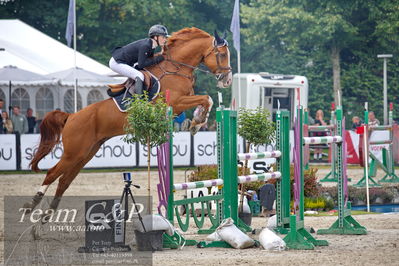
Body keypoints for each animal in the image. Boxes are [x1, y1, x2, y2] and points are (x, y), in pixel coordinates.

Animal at [24, 27, 231, 214]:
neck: (175, 68)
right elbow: (206, 98)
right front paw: (196, 122)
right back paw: (32, 205)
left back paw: (46, 217)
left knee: (64, 181)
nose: (227, 80)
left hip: (86, 153)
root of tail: (71, 116)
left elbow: (206, 100)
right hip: (73, 153)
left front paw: (196, 122)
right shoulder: (176, 102)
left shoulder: (183, 101)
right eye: (222, 54)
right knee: (52, 174)